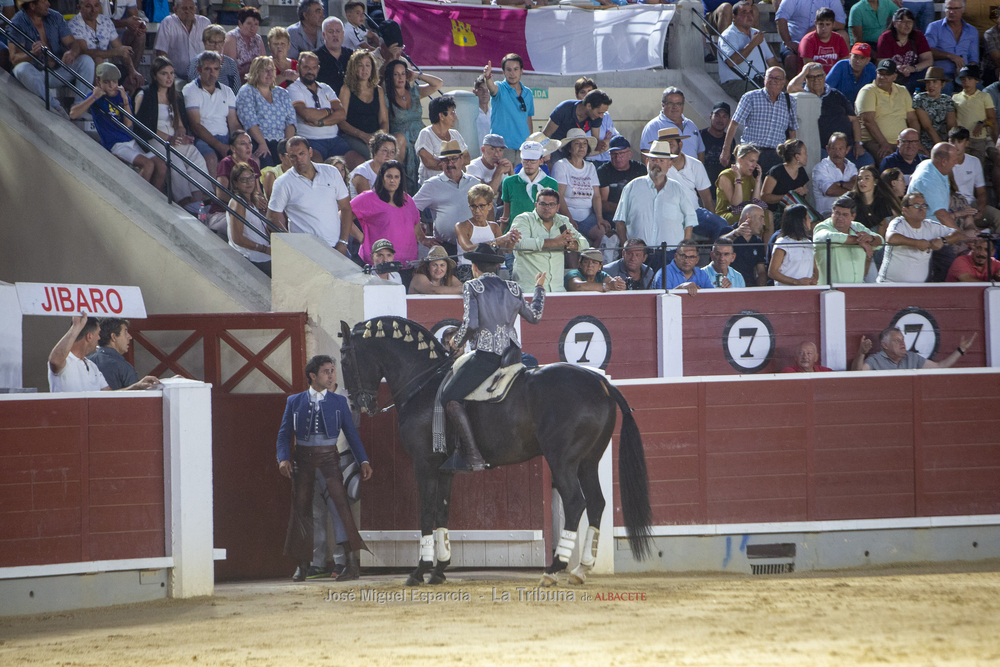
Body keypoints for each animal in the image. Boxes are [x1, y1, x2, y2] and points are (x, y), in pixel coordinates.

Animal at [340, 318, 656, 584]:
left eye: (344, 357)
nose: (357, 404)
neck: (423, 384)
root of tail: (601, 382)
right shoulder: (445, 469)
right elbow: (442, 511)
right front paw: (440, 569)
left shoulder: (425, 463)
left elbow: (427, 511)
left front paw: (420, 571)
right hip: (588, 461)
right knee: (597, 503)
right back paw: (581, 568)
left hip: (562, 461)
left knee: (576, 503)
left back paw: (554, 569)